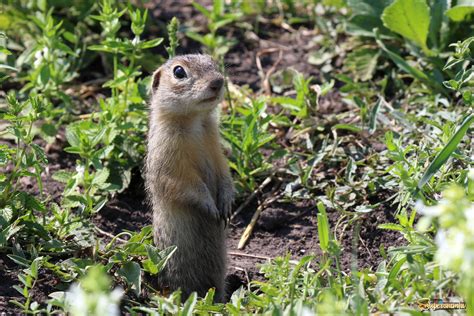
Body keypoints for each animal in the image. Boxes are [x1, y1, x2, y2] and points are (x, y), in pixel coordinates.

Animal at [144, 55, 233, 304]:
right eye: (179, 72)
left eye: (212, 62)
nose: (218, 81)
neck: (195, 121)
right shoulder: (168, 157)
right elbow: (183, 183)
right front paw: (211, 208)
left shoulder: (216, 146)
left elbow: (224, 173)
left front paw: (226, 203)